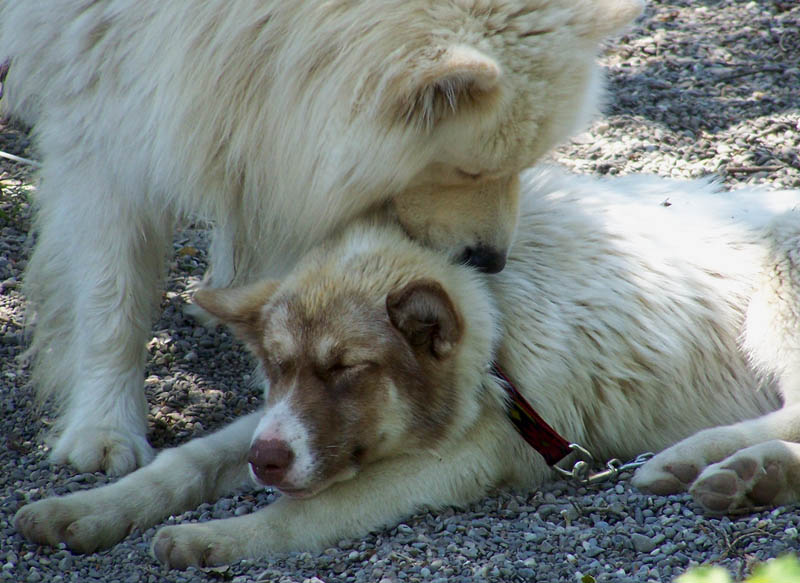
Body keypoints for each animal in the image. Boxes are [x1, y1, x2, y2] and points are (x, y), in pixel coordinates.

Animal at [0, 0, 640, 476]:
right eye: (468, 171)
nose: (491, 261)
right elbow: (111, 300)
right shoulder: (101, 112)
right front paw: (103, 428)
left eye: (526, 163)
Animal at [12, 167, 800, 568]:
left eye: (347, 369)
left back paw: (700, 461)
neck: (493, 326)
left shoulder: (464, 457)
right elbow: (186, 461)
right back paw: (745, 476)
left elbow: (309, 509)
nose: (266, 461)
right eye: (276, 366)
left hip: (777, 307)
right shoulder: (278, 425)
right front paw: (88, 509)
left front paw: (218, 539)